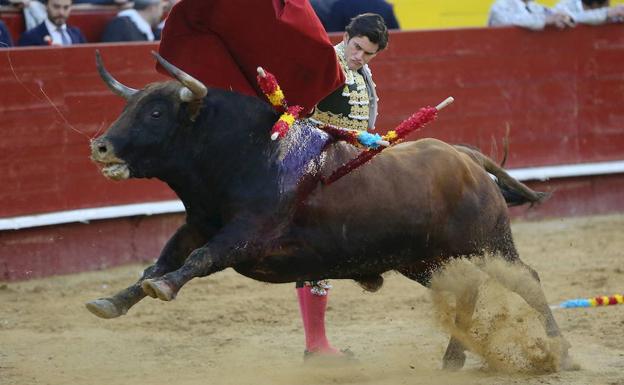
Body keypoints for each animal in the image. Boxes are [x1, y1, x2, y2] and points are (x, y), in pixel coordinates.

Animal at [86, 51, 572, 368]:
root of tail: (465, 157)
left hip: (489, 242)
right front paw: (113, 301)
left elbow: (199, 260)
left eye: (155, 113)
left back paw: (561, 354)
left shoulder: (248, 232)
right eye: (130, 106)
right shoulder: (198, 223)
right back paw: (453, 359)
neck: (245, 152)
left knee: (527, 280)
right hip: (423, 259)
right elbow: (160, 262)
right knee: (468, 288)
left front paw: (163, 289)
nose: (100, 146)